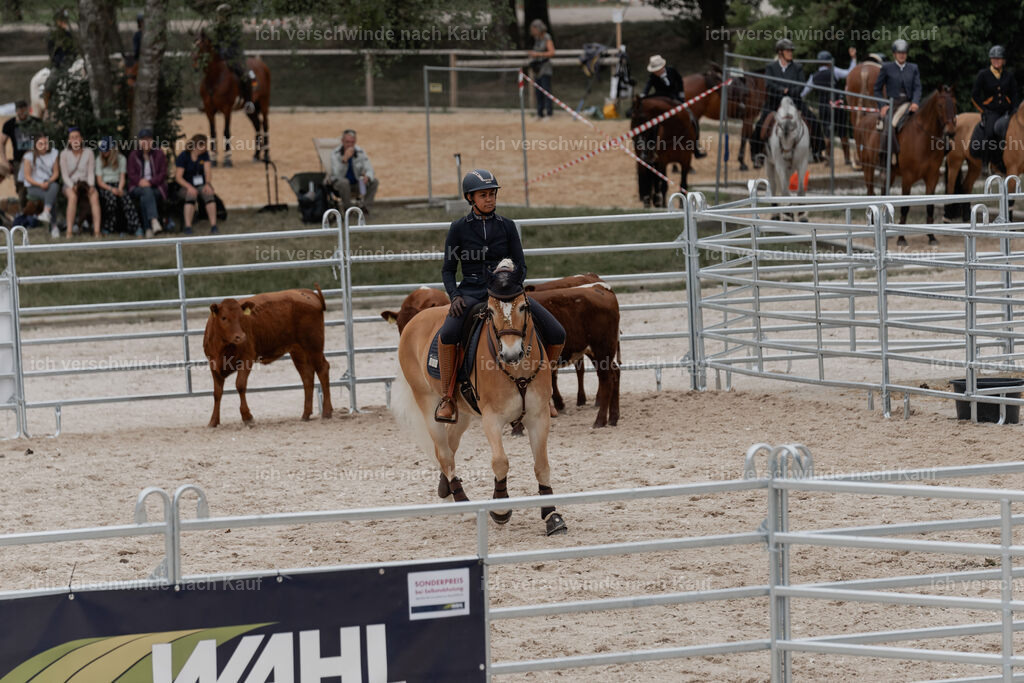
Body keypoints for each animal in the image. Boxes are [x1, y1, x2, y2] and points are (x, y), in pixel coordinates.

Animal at [193, 31, 271, 166]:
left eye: (202, 47)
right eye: (193, 46)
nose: (195, 65)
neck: (215, 78)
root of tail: (262, 65)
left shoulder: (227, 109)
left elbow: (226, 131)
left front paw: (227, 159)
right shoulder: (209, 110)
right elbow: (213, 132)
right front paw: (213, 159)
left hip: (264, 102)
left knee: (265, 125)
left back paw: (266, 155)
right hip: (250, 109)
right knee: (257, 125)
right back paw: (256, 155)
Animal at [393, 259, 568, 537]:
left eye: (523, 306)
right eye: (491, 311)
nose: (510, 354)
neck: (516, 371)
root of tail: (413, 321)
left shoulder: (538, 416)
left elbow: (542, 464)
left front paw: (552, 515)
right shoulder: (491, 418)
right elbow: (500, 461)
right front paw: (500, 510)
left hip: (462, 413)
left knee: (450, 446)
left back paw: (445, 489)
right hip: (428, 403)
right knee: (444, 453)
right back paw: (462, 503)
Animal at [852, 86, 957, 244]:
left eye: (955, 104)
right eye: (940, 105)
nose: (950, 131)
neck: (923, 137)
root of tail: (862, 120)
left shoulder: (932, 177)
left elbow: (930, 205)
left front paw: (931, 236)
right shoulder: (908, 177)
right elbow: (905, 206)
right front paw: (901, 237)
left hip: (890, 173)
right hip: (868, 167)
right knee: (870, 192)